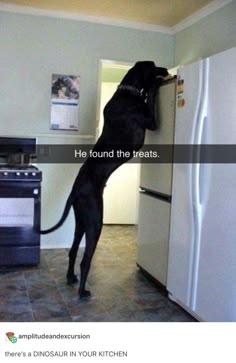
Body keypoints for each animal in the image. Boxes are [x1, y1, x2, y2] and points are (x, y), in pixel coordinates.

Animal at [41, 61, 170, 298]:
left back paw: (71, 278)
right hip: (95, 221)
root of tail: (75, 191)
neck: (128, 91)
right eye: (154, 65)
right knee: (85, 260)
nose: (166, 70)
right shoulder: (151, 121)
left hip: (81, 221)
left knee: (73, 250)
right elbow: (151, 98)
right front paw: (155, 84)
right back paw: (83, 292)